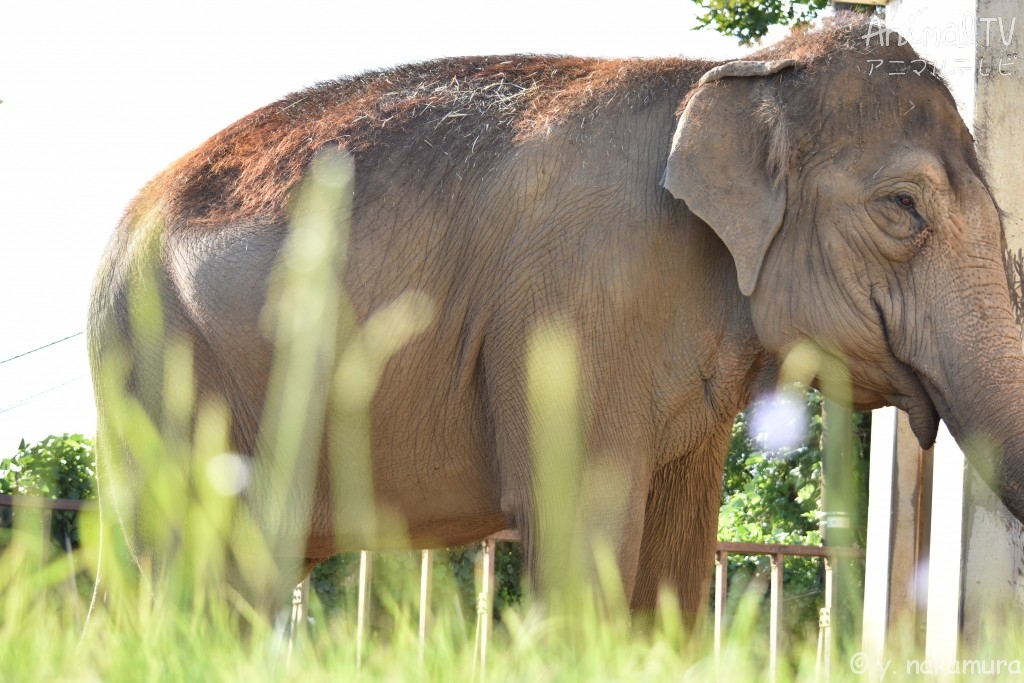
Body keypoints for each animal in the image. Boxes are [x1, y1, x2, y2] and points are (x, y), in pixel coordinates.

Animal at [86, 14, 1024, 626]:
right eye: (903, 208)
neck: (735, 71)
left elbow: (679, 548)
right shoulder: (575, 304)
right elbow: (583, 524)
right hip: (164, 368)